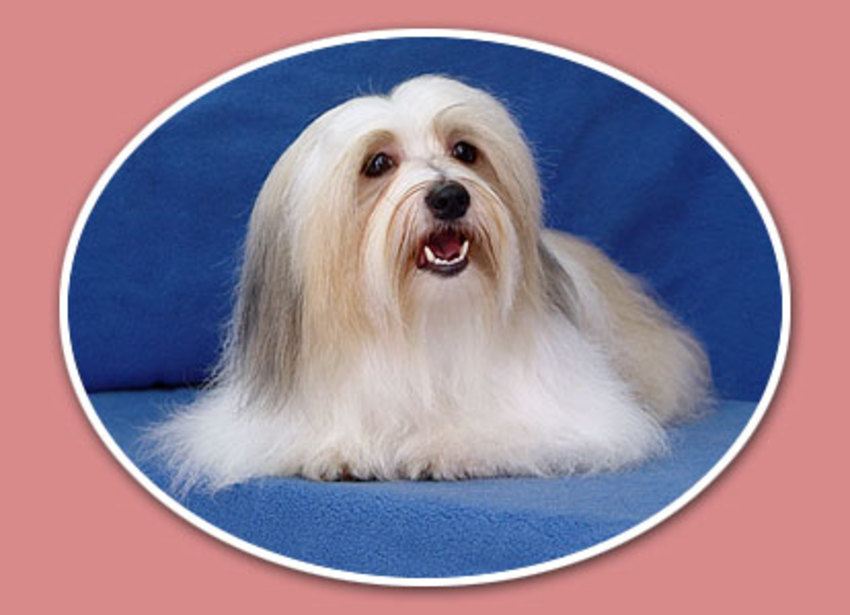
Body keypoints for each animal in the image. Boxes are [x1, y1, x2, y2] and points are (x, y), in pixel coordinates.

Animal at [148, 75, 710, 491]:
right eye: (377, 163)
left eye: (465, 150)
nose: (449, 196)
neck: (426, 319)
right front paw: (339, 448)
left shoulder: (574, 413)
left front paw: (446, 445)